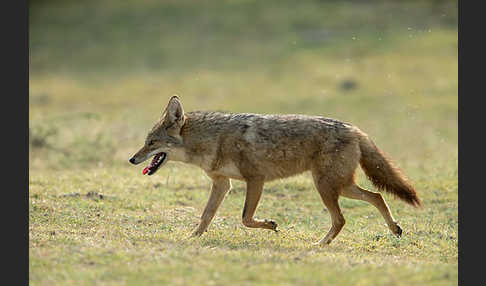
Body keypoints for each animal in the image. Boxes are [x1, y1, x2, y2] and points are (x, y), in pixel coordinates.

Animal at [130, 96, 422, 246]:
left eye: (151, 143)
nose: (133, 159)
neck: (213, 139)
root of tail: (355, 128)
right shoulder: (223, 184)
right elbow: (205, 217)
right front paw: (192, 238)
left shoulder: (255, 179)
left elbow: (246, 219)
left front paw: (271, 225)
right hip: (341, 186)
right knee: (377, 196)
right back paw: (395, 229)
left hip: (327, 187)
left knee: (342, 218)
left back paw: (319, 245)